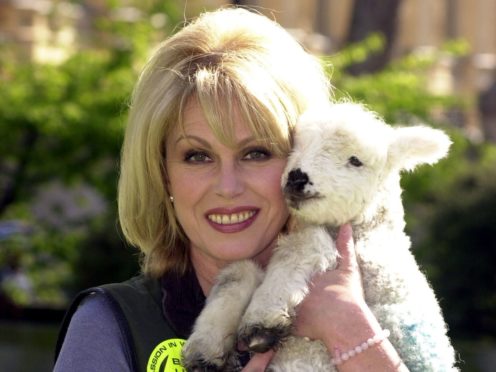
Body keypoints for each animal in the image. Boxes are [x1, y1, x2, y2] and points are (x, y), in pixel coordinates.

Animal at [184, 101, 460, 372]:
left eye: (355, 161)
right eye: (297, 146)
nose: (297, 178)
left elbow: (302, 244)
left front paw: (262, 320)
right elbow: (237, 272)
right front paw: (205, 346)